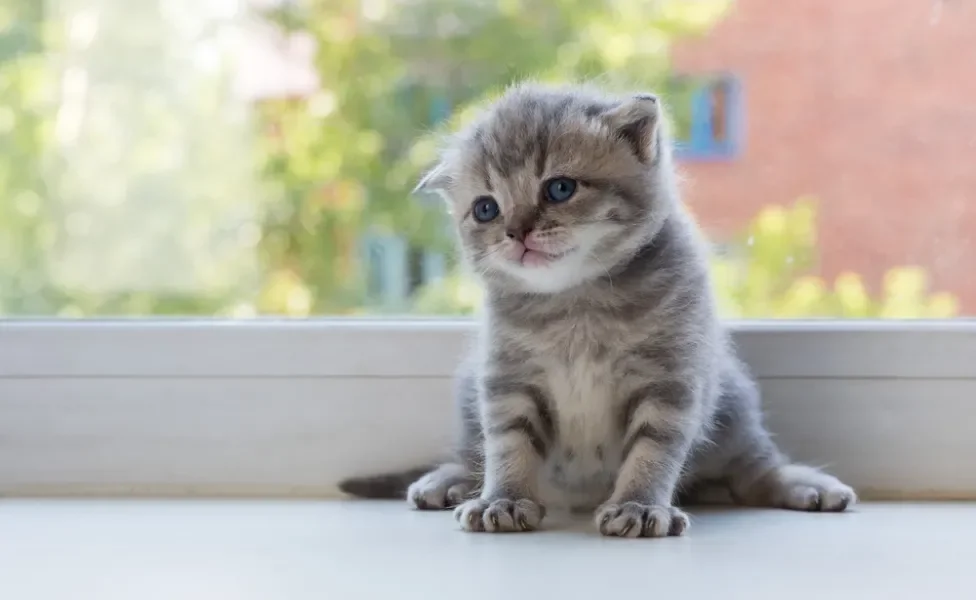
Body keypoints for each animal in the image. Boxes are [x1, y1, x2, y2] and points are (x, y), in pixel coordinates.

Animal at [340, 82, 856, 536]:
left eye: (559, 188)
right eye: (486, 209)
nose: (516, 232)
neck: (577, 304)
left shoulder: (670, 379)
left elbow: (654, 448)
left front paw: (640, 505)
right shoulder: (507, 379)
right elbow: (506, 444)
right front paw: (502, 498)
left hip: (731, 401)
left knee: (755, 470)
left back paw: (806, 485)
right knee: (472, 453)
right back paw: (447, 480)